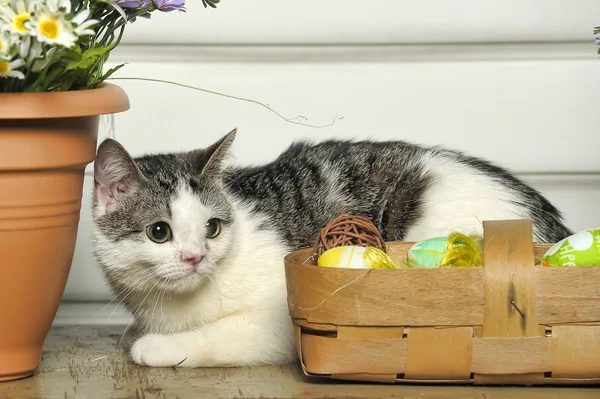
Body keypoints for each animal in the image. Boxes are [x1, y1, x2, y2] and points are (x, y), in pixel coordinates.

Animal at [90, 129, 572, 368]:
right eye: (159, 232)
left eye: (212, 228)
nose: (195, 258)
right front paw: (136, 335)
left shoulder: (277, 321)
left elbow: (220, 336)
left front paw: (154, 348)